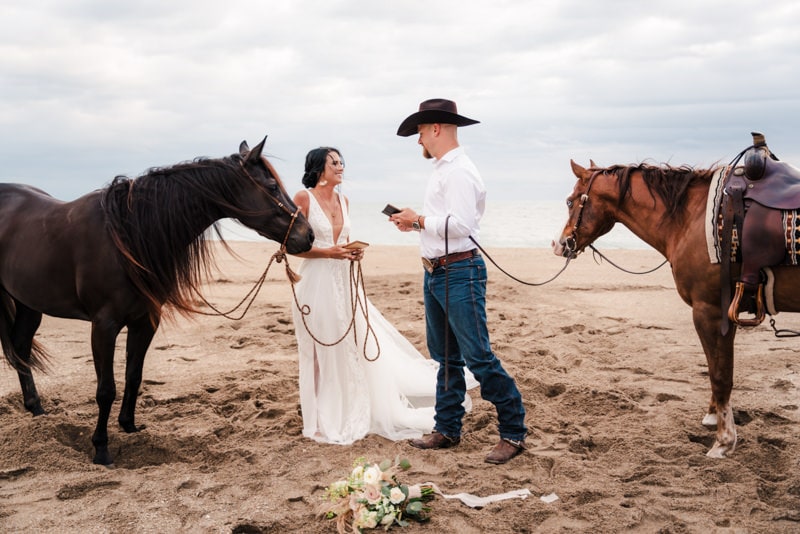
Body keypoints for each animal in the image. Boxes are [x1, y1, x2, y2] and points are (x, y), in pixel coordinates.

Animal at [0, 138, 312, 464]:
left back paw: (36, 409)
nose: (309, 235)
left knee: (20, 347)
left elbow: (134, 376)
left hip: (29, 304)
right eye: (272, 187)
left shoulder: (145, 321)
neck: (126, 237)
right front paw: (101, 448)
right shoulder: (104, 325)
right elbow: (106, 389)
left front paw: (129, 426)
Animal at [552, 160, 800, 460]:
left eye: (570, 201)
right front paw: (714, 415)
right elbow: (718, 368)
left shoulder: (708, 311)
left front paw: (724, 441)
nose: (560, 244)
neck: (690, 218)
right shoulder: (725, 312)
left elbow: (720, 376)